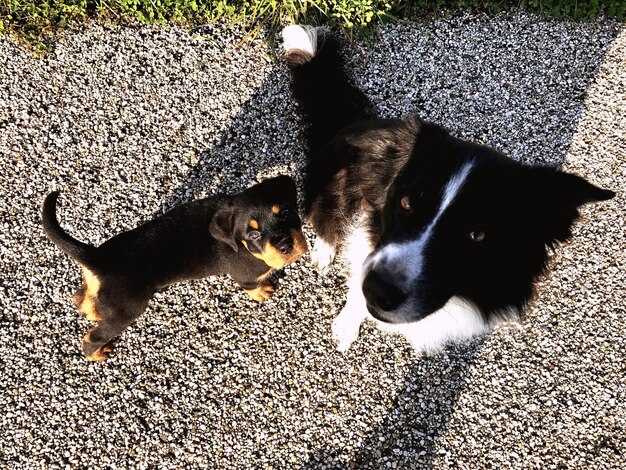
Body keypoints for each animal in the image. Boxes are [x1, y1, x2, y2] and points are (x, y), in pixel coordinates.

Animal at [41, 174, 308, 362]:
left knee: (82, 299)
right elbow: (252, 285)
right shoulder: (245, 273)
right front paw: (263, 292)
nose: (286, 246)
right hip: (128, 310)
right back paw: (96, 354)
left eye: (287, 212)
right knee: (91, 336)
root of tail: (97, 257)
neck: (240, 244)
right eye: (253, 234)